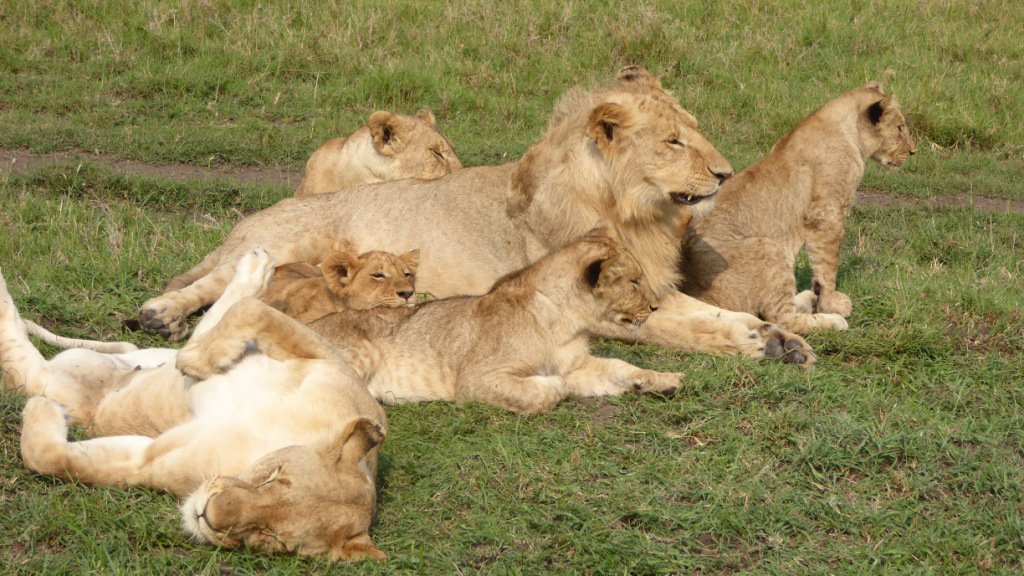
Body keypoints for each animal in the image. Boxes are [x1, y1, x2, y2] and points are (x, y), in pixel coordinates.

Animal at [136, 67, 811, 362]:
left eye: (694, 131)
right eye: (674, 142)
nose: (725, 173)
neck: (635, 212)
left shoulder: (657, 286)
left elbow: (711, 310)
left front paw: (780, 338)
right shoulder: (603, 307)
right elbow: (685, 328)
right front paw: (754, 343)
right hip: (280, 246)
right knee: (207, 283)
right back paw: (157, 315)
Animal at [684, 81, 917, 332]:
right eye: (900, 128)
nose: (913, 151)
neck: (850, 134)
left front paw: (821, 299)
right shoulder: (827, 214)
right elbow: (827, 267)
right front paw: (832, 304)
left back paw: (807, 298)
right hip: (770, 247)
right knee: (782, 319)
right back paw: (833, 320)